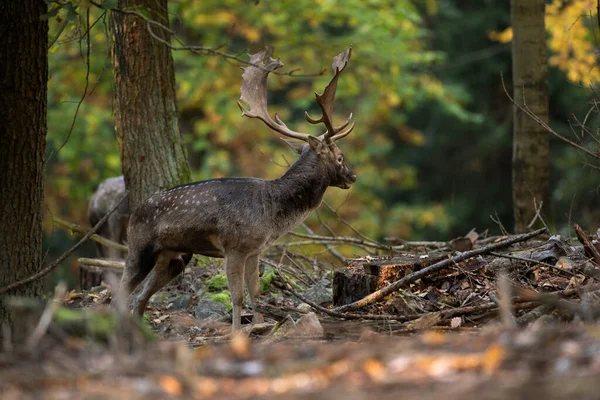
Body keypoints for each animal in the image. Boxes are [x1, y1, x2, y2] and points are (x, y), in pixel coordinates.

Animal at [119, 47, 358, 332]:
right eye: (340, 157)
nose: (353, 176)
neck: (272, 213)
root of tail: (133, 212)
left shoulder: (255, 250)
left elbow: (256, 293)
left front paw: (259, 326)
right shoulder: (234, 247)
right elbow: (237, 295)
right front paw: (237, 331)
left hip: (174, 256)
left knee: (140, 296)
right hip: (139, 247)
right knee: (120, 289)